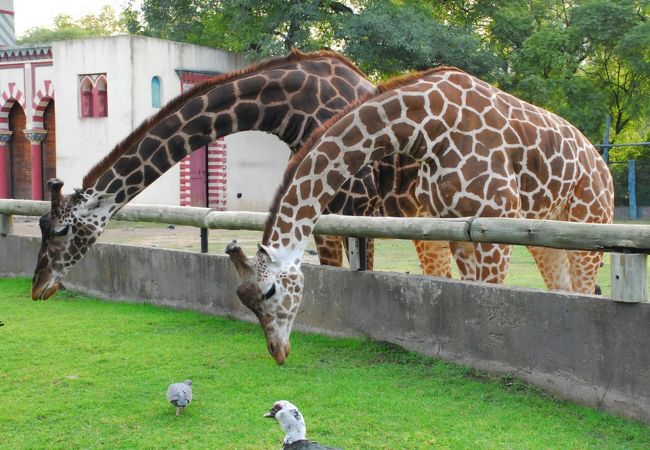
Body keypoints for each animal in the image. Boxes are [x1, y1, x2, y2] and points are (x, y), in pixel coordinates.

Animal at [227, 66, 612, 362]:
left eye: (270, 291)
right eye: (244, 299)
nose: (278, 352)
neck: (426, 129)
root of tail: (601, 162)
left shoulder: (496, 218)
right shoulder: (455, 222)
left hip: (590, 220)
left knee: (587, 287)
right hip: (544, 232)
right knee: (564, 286)